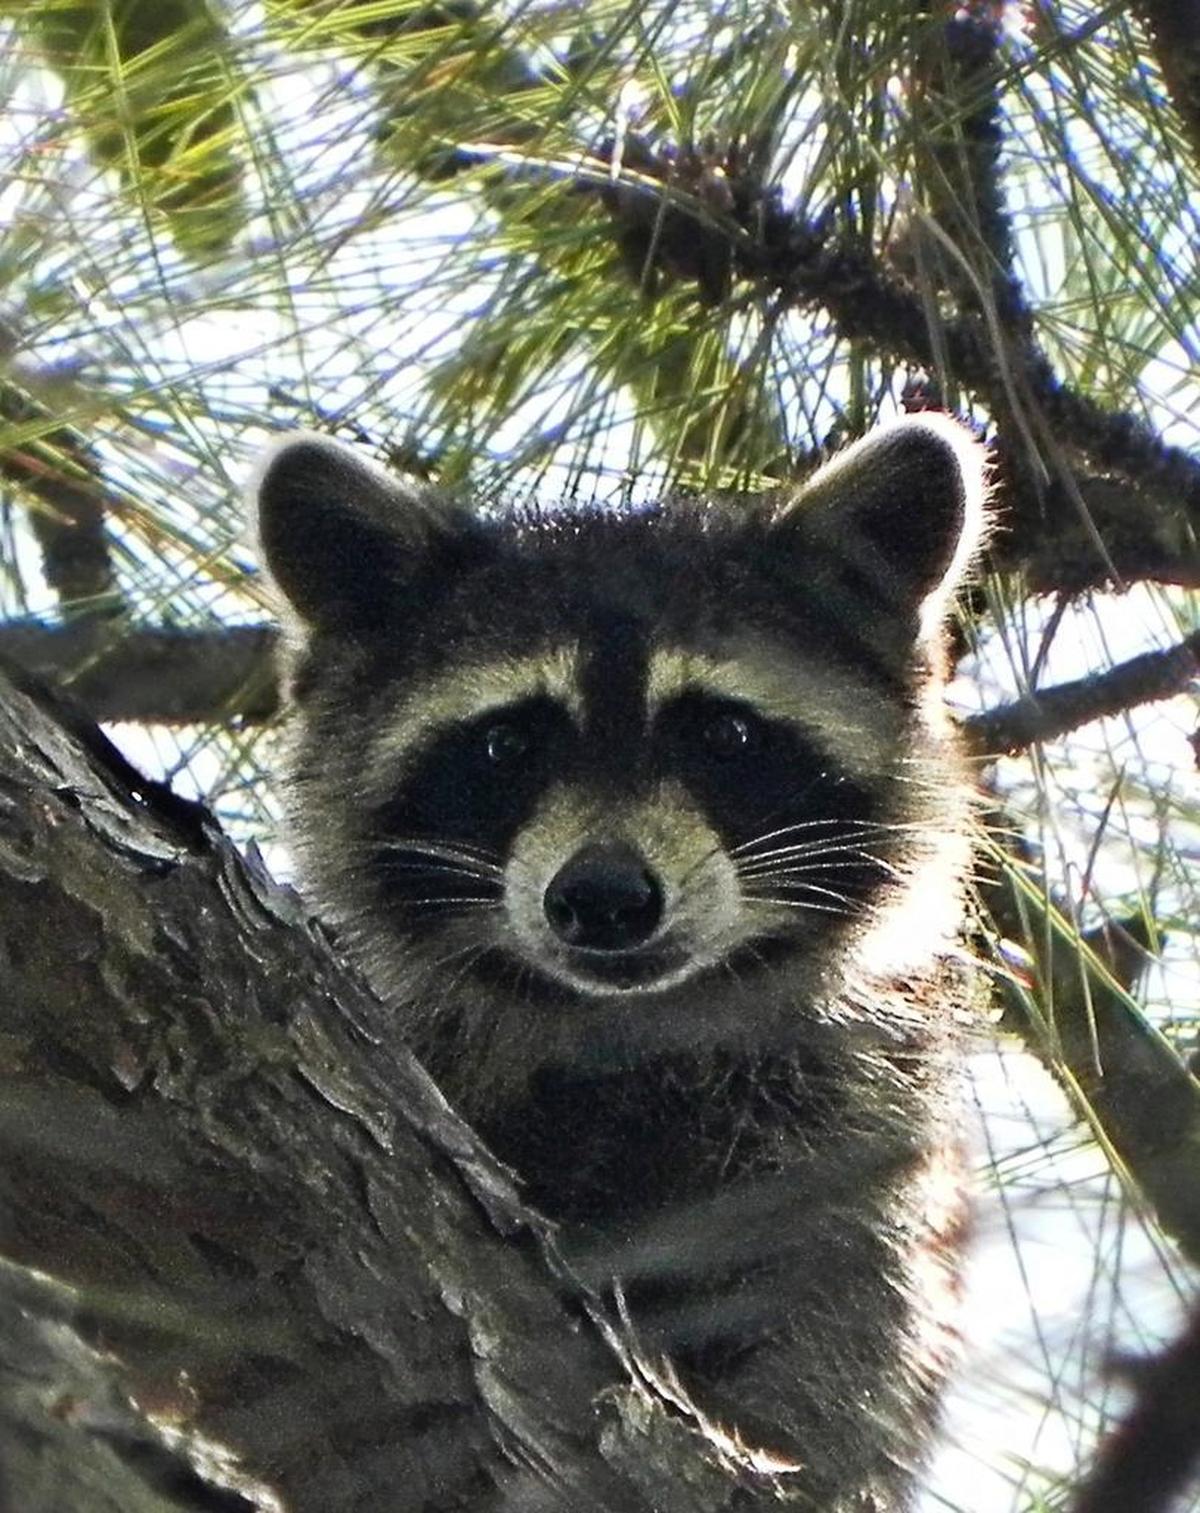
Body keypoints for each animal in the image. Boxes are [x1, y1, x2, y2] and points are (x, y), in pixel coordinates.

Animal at [253, 415, 986, 1510]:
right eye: (506, 744)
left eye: (726, 732)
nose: (603, 898)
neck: (618, 1027)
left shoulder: (850, 1129)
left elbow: (832, 1336)